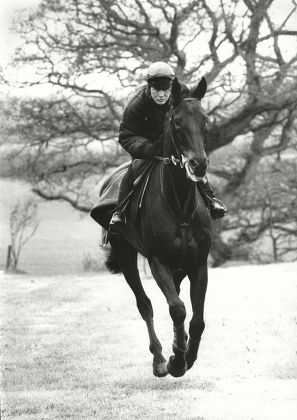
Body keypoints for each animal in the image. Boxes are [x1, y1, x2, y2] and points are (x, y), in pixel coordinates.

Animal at [92, 77, 210, 378]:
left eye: (205, 120)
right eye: (176, 122)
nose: (198, 165)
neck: (179, 204)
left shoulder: (198, 263)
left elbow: (197, 319)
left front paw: (188, 354)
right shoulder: (158, 261)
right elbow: (177, 309)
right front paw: (176, 361)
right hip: (126, 254)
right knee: (145, 304)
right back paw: (159, 358)